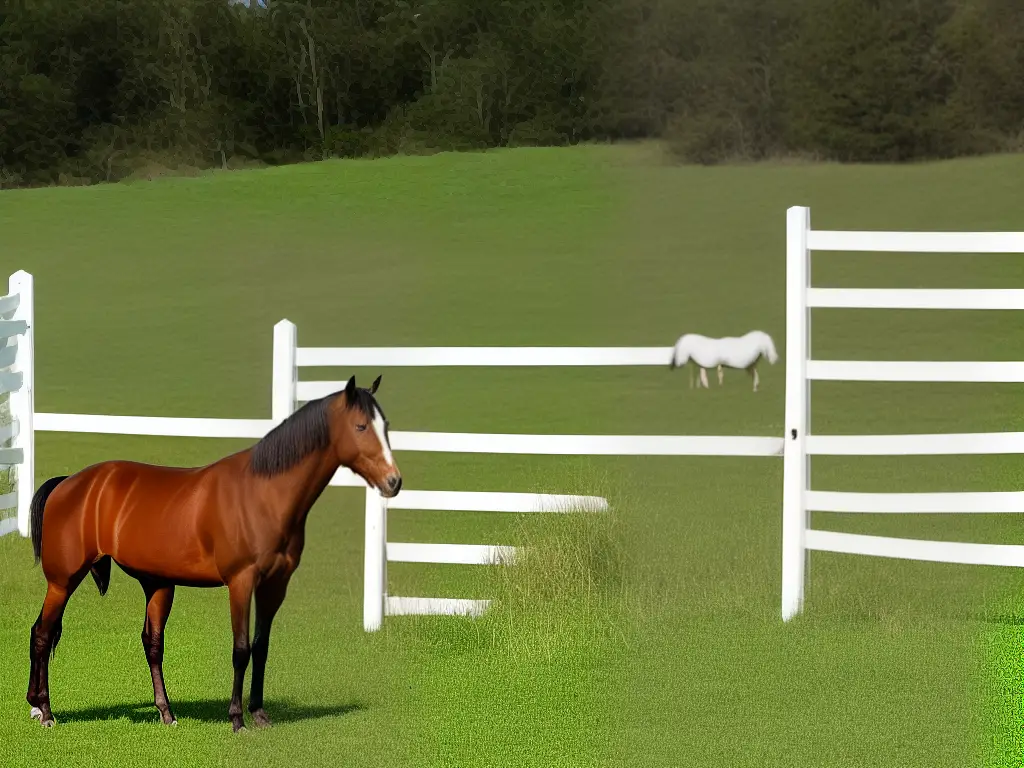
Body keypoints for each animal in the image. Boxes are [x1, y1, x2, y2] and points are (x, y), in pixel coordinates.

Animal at [24, 376, 399, 733]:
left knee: (152, 643)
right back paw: (44, 711)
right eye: (361, 427)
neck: (263, 495)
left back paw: (166, 714)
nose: (393, 482)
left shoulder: (275, 585)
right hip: (63, 581)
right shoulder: (241, 582)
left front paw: (259, 714)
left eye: (386, 425)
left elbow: (261, 647)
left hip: (158, 585)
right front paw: (237, 719)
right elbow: (241, 649)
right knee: (42, 633)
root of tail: (68, 482)